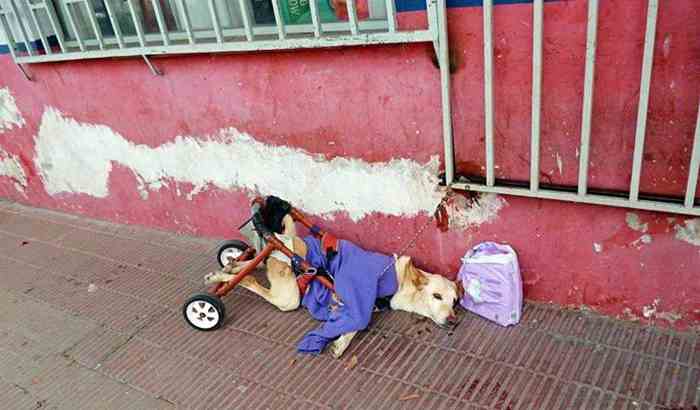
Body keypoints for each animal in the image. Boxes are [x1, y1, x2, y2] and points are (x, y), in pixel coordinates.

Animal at [205, 215, 462, 358]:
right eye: (437, 296)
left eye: (455, 302)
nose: (453, 321)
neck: (399, 280)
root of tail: (280, 241)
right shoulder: (357, 292)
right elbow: (357, 321)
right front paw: (339, 343)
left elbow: (352, 323)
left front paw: (339, 341)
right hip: (289, 298)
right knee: (250, 279)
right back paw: (221, 282)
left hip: (271, 269)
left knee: (249, 263)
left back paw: (225, 268)